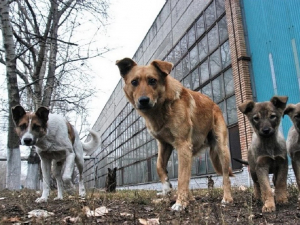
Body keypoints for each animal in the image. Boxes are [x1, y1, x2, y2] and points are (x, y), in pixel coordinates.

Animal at [116, 57, 233, 211]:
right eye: (134, 82)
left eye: (152, 80)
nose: (143, 101)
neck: (161, 108)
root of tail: (215, 105)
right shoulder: (164, 144)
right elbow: (159, 166)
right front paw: (166, 187)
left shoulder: (182, 145)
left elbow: (181, 178)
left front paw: (180, 203)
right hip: (192, 152)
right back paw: (191, 198)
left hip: (221, 148)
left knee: (225, 176)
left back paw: (227, 198)